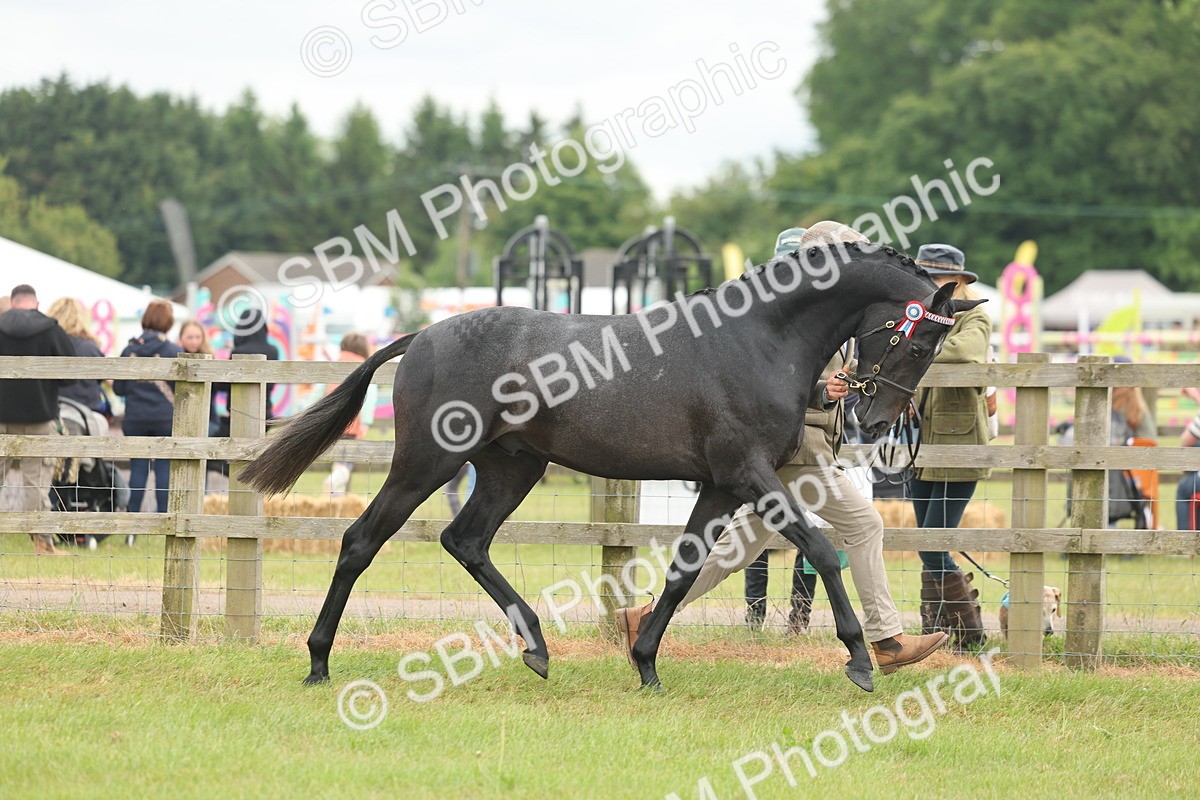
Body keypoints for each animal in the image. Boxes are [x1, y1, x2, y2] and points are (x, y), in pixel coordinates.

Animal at [240, 240, 984, 692]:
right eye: (919, 341)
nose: (879, 420)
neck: (759, 338)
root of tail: (422, 334)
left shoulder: (721, 486)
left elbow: (683, 572)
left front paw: (646, 664)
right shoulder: (751, 476)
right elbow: (825, 551)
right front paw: (860, 659)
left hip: (512, 469)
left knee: (465, 540)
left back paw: (537, 647)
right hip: (427, 461)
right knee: (360, 540)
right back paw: (318, 661)